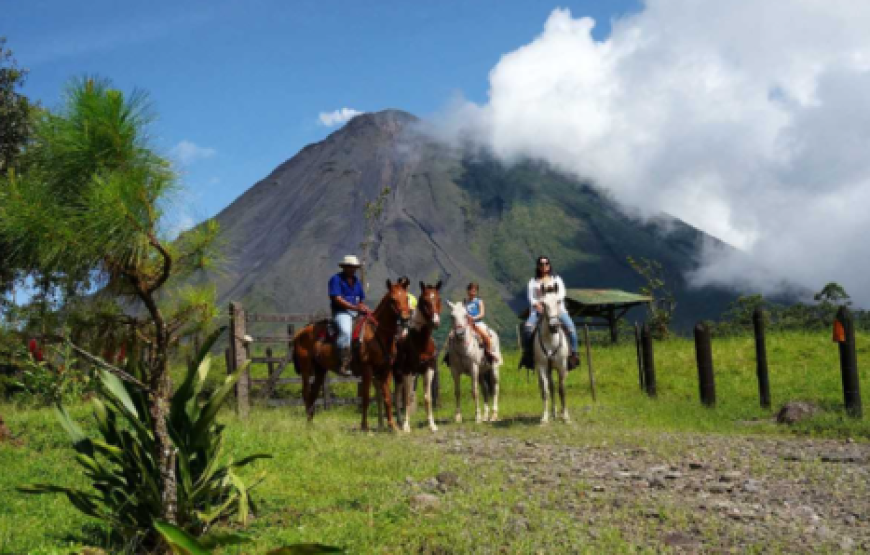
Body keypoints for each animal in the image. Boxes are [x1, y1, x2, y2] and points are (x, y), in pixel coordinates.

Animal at [292, 280, 412, 432]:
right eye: (392, 299)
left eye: (406, 298)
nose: (405, 319)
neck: (376, 334)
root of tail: (299, 333)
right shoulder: (367, 370)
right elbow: (365, 398)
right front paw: (365, 427)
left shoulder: (386, 370)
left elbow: (387, 398)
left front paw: (393, 427)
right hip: (306, 369)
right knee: (306, 393)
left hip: (320, 370)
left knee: (313, 393)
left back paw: (310, 423)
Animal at [396, 282, 442, 434]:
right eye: (425, 301)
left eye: (438, 299)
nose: (435, 322)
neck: (421, 343)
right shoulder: (409, 372)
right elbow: (407, 398)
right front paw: (406, 426)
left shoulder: (429, 369)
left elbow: (428, 398)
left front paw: (432, 425)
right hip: (396, 375)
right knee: (397, 398)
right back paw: (399, 422)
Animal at [532, 284, 572, 424]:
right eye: (543, 304)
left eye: (559, 301)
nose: (554, 326)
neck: (550, 339)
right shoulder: (542, 367)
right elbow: (545, 391)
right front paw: (544, 417)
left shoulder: (562, 367)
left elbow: (562, 390)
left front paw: (566, 416)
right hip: (545, 370)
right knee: (550, 387)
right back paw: (553, 413)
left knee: (555, 387)